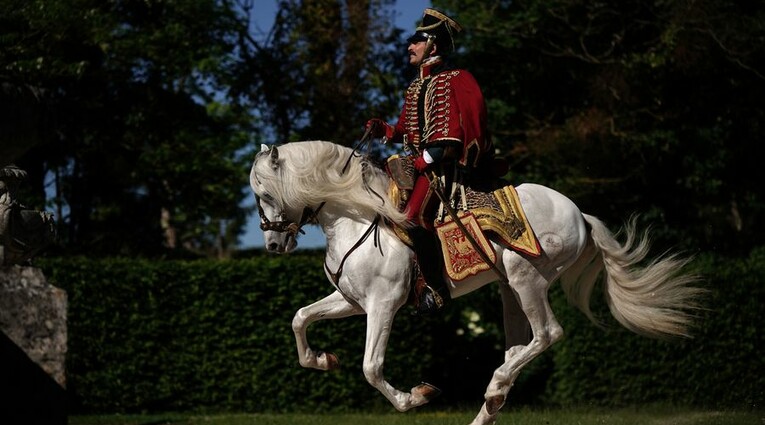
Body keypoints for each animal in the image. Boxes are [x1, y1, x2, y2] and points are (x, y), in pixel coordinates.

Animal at [248, 140, 700, 424]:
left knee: (548, 333)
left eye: (264, 193)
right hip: (509, 289)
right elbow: (300, 318)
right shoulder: (352, 301)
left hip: (526, 276)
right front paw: (323, 360)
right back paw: (489, 405)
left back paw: (495, 386)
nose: (271, 243)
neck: (357, 215)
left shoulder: (382, 304)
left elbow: (371, 367)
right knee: (520, 346)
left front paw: (416, 396)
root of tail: (580, 215)